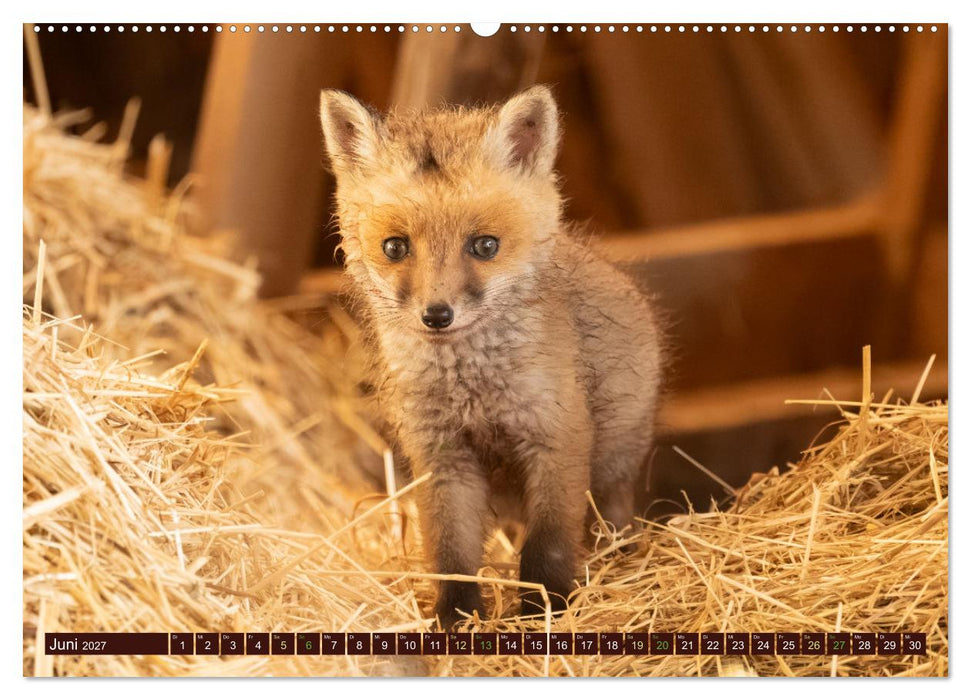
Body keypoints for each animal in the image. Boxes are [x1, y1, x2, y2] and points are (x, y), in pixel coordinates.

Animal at [318, 85, 663, 629]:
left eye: (485, 246)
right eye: (395, 247)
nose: (437, 315)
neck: (473, 391)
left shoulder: (556, 440)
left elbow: (547, 549)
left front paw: (545, 611)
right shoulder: (443, 457)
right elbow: (452, 554)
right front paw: (457, 621)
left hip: (613, 468)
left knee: (615, 518)